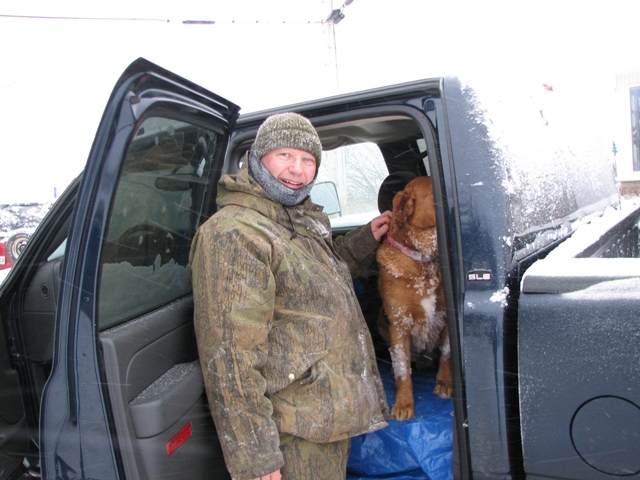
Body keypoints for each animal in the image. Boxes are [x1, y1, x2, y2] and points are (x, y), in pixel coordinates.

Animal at [378, 176, 452, 420]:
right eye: (435, 190)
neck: (423, 261)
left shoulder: (446, 317)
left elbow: (447, 355)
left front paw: (444, 383)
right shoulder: (399, 323)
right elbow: (403, 370)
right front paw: (403, 403)